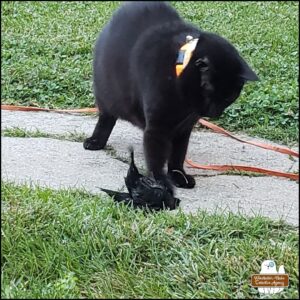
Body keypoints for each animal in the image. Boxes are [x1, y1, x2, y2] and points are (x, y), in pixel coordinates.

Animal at [84, 1, 258, 191]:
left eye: (228, 98)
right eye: (208, 93)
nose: (214, 112)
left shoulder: (184, 128)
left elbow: (177, 155)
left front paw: (178, 175)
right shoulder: (157, 128)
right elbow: (156, 158)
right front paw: (161, 182)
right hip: (106, 94)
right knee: (106, 118)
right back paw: (95, 141)